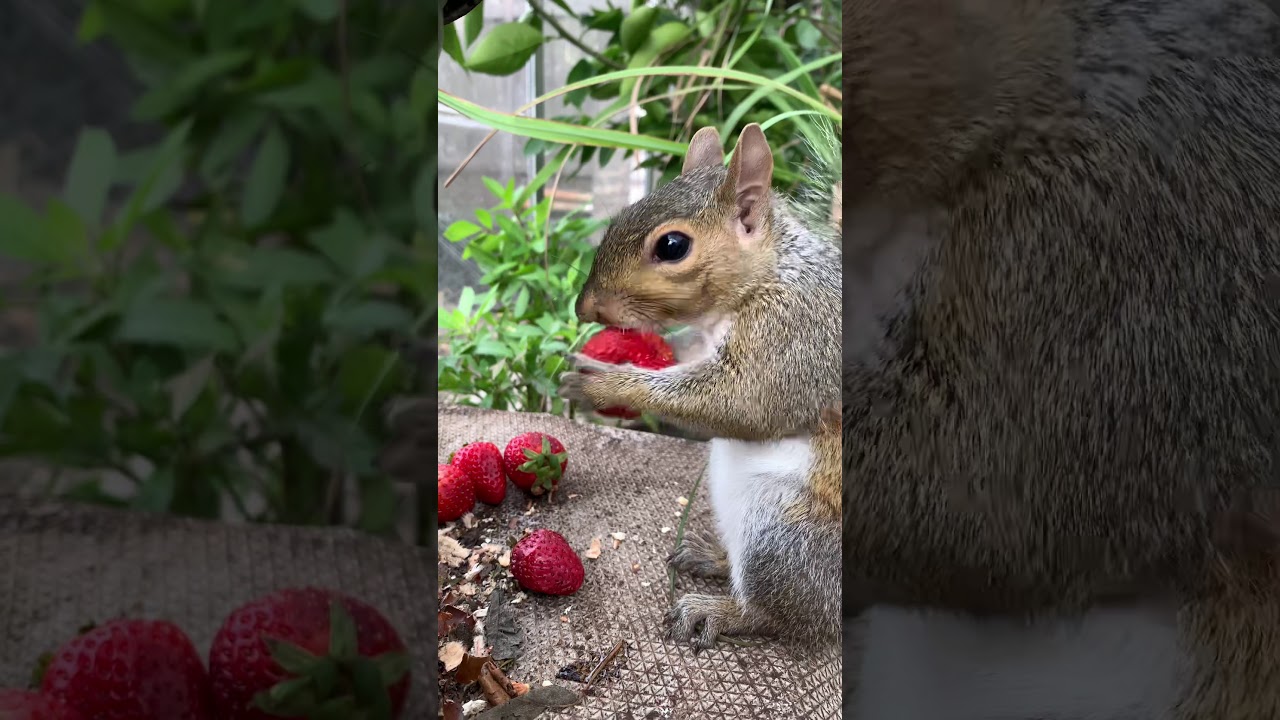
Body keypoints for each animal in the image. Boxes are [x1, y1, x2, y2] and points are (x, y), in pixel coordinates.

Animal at [556, 124, 842, 649]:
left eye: (672, 246)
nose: (586, 308)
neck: (771, 272)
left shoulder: (798, 333)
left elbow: (747, 404)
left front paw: (602, 384)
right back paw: (711, 555)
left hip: (782, 534)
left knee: (789, 617)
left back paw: (720, 611)